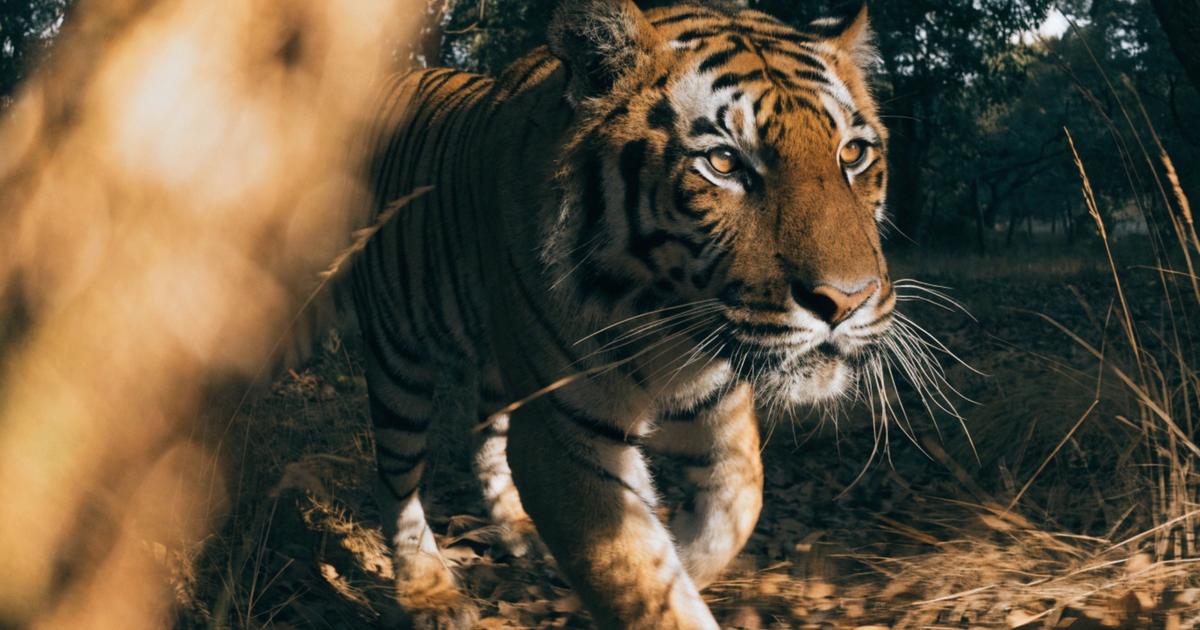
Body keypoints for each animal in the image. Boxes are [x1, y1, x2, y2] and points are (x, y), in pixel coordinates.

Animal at [349, 0, 894, 627]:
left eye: (852, 153)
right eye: (724, 162)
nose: (847, 300)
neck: (671, 329)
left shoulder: (722, 409)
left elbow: (736, 506)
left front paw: (683, 555)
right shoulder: (566, 438)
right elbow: (639, 583)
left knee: (485, 438)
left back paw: (518, 533)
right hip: (397, 358)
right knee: (396, 479)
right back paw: (428, 591)